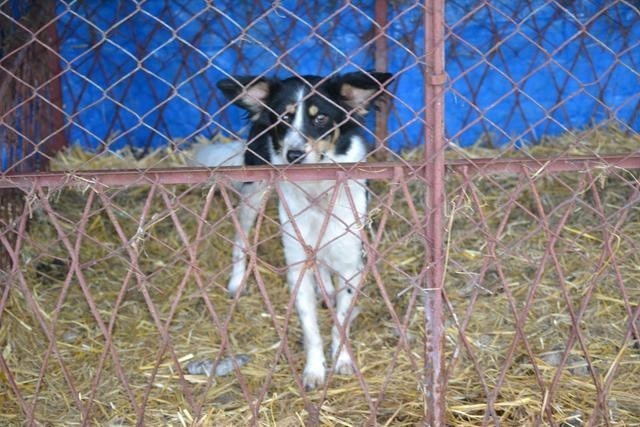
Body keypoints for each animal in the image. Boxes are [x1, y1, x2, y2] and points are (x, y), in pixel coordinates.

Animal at [195, 72, 392, 390]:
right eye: (283, 118)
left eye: (321, 118)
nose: (294, 153)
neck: (316, 188)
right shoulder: (297, 263)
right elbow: (310, 326)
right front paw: (314, 370)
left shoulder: (350, 261)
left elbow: (341, 320)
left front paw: (342, 359)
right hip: (255, 191)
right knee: (241, 237)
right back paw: (238, 280)